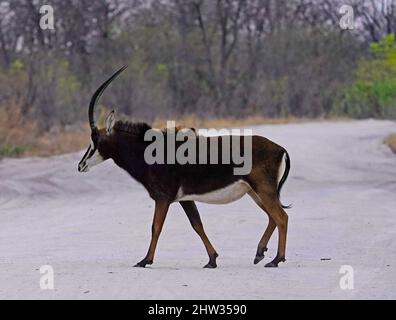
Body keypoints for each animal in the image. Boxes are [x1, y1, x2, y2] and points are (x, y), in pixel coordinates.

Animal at [78, 66, 290, 268]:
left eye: (95, 138)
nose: (81, 165)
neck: (149, 150)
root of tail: (280, 149)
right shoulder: (185, 199)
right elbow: (197, 225)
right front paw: (212, 260)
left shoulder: (163, 198)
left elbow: (156, 227)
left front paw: (145, 260)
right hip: (255, 192)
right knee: (272, 217)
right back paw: (260, 253)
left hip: (263, 190)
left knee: (281, 217)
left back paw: (276, 259)